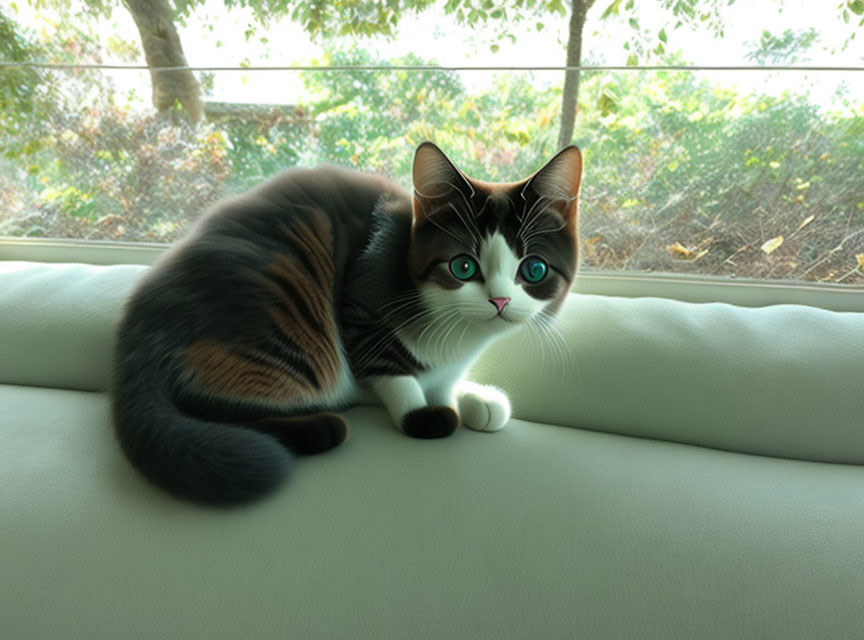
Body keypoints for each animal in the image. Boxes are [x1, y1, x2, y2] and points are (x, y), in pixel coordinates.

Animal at [108, 141, 580, 504]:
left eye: (534, 270)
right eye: (463, 266)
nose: (500, 300)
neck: (460, 335)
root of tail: (140, 326)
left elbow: (444, 380)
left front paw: (471, 396)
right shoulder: (363, 302)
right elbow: (391, 371)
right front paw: (423, 413)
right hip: (276, 322)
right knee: (202, 400)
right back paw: (319, 426)